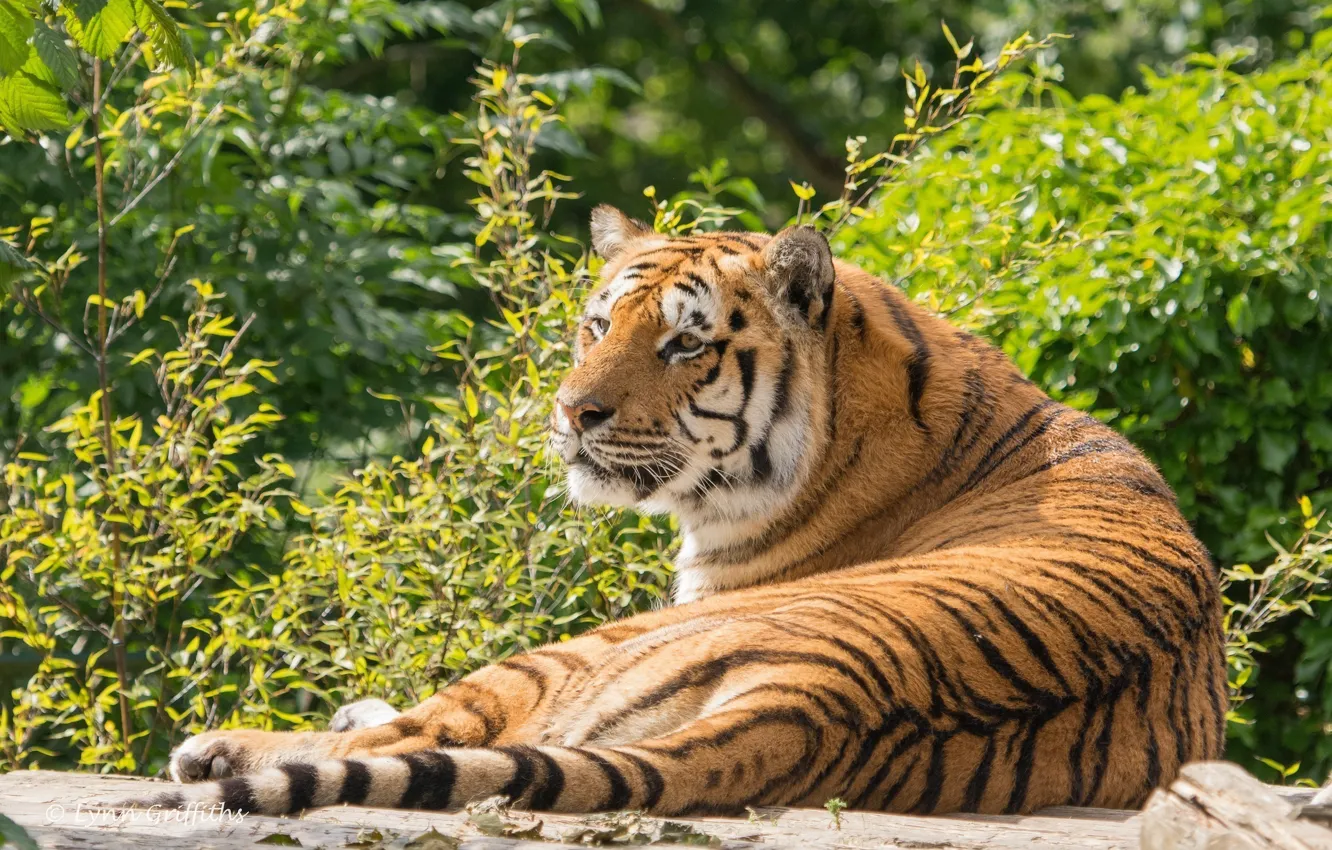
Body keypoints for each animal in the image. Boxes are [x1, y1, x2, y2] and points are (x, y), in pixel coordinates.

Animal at [145, 205, 1226, 818]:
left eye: (685, 345)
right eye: (596, 325)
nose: (570, 411)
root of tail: (818, 703)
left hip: (581, 648)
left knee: (412, 740)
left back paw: (217, 747)